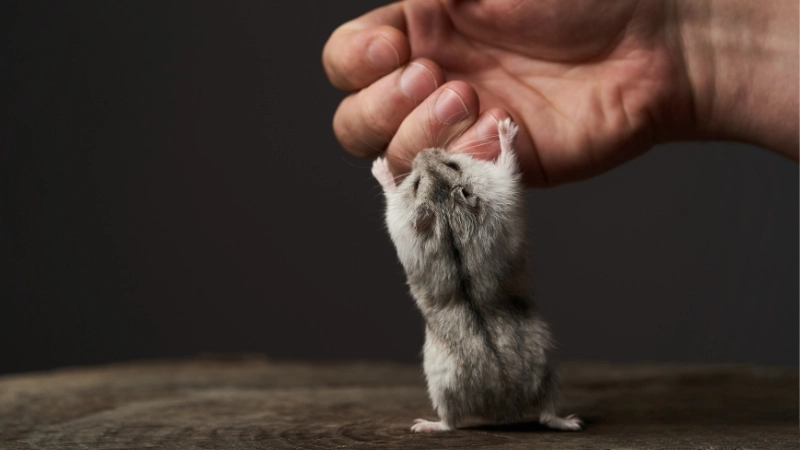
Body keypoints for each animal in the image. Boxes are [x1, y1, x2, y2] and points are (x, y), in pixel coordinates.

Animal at [371, 118, 583, 433]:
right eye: (417, 183)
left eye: (452, 164)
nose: (422, 151)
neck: (447, 209)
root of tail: (504, 404)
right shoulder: (501, 184)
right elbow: (508, 161)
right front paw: (506, 127)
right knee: (454, 423)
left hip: (542, 369)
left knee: (539, 415)